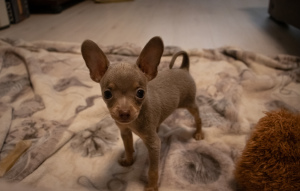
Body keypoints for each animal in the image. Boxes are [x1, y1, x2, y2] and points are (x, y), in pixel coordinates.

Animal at [81, 36, 204, 190]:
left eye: (140, 93)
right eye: (107, 94)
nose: (124, 113)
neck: (135, 121)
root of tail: (183, 69)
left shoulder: (154, 145)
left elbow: (153, 169)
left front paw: (152, 186)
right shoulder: (125, 132)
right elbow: (128, 148)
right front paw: (129, 161)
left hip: (189, 104)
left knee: (198, 117)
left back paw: (199, 133)